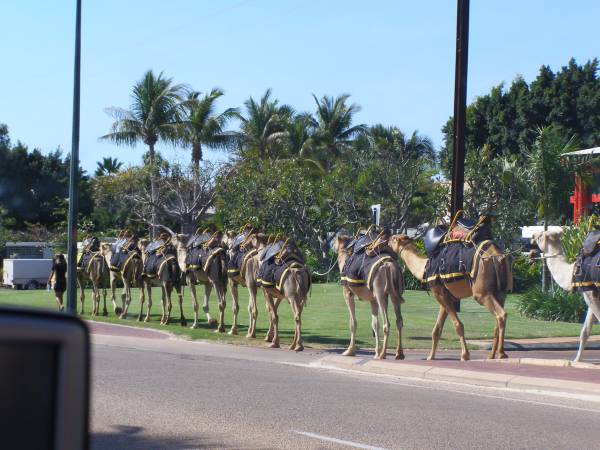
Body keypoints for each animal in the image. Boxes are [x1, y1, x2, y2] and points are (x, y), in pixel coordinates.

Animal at [528, 230, 600, 364]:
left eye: (540, 236)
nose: (532, 236)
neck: (571, 272)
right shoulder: (591, 292)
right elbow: (585, 331)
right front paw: (577, 360)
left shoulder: (589, 292)